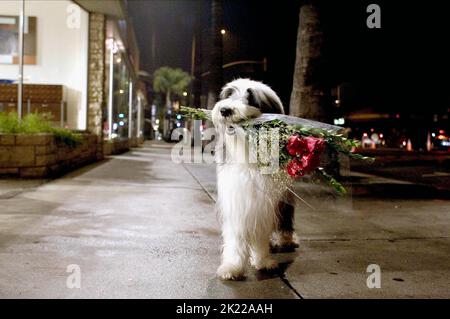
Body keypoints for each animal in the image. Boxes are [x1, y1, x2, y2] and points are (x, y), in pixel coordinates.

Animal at [211, 79, 298, 282]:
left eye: (251, 99)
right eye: (229, 94)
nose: (225, 110)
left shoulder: (265, 203)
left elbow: (261, 232)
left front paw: (263, 261)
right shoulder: (236, 200)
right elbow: (236, 236)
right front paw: (233, 267)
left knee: (285, 219)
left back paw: (286, 240)